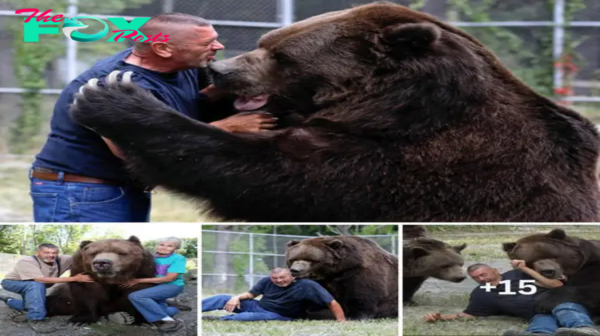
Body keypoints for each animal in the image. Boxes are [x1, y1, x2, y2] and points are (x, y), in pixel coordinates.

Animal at [69, 2, 600, 223]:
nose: (220, 68)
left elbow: (268, 171)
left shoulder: (410, 166)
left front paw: (113, 99)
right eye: (266, 41)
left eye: (282, 56)